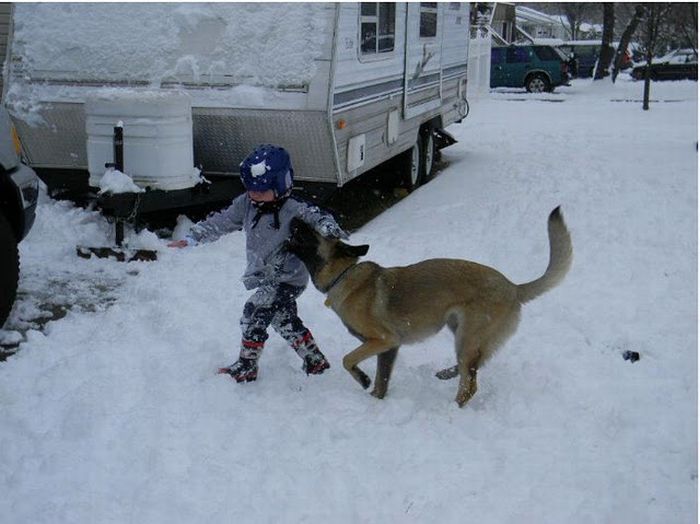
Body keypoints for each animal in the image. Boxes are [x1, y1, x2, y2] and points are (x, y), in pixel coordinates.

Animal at [288, 207, 572, 408]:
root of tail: (514, 287)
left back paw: (452, 408)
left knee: (470, 384)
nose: (292, 216)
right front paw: (375, 399)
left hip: (467, 337)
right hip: (461, 333)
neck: (343, 275)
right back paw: (446, 373)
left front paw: (363, 379)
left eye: (311, 231)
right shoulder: (389, 348)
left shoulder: (382, 340)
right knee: (473, 367)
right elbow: (382, 381)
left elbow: (348, 360)